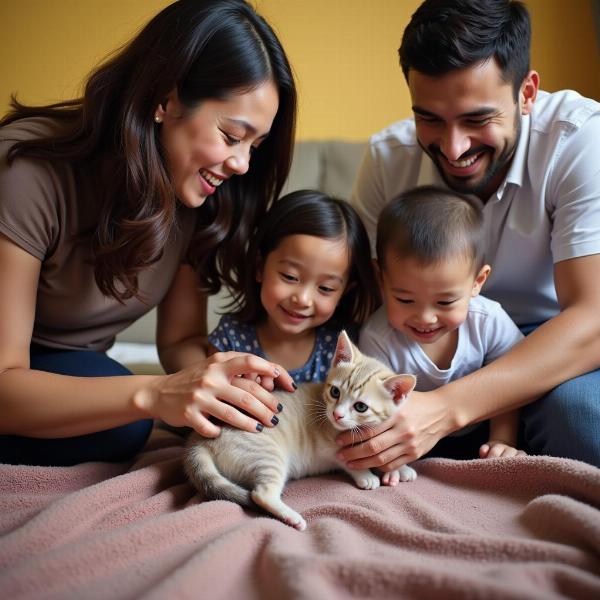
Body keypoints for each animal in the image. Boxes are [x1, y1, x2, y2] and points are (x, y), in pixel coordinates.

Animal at [184, 330, 418, 532]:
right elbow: (348, 461)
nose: (337, 415)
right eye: (335, 392)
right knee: (260, 494)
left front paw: (400, 468)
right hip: (268, 454)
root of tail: (200, 440)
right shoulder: (329, 448)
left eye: (360, 406)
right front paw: (366, 474)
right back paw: (292, 517)